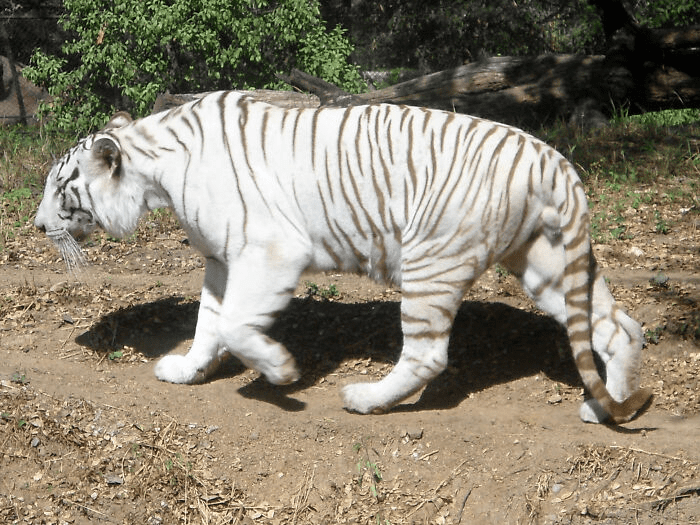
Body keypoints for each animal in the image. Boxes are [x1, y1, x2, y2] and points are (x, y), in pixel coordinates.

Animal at [35, 92, 652, 424]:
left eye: (61, 187)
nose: (38, 226)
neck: (156, 169)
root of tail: (555, 161)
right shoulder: (221, 260)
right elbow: (209, 323)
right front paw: (188, 369)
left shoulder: (271, 250)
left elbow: (234, 324)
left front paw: (280, 371)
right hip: (545, 263)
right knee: (619, 326)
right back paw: (608, 407)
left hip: (432, 257)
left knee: (427, 355)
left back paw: (365, 398)